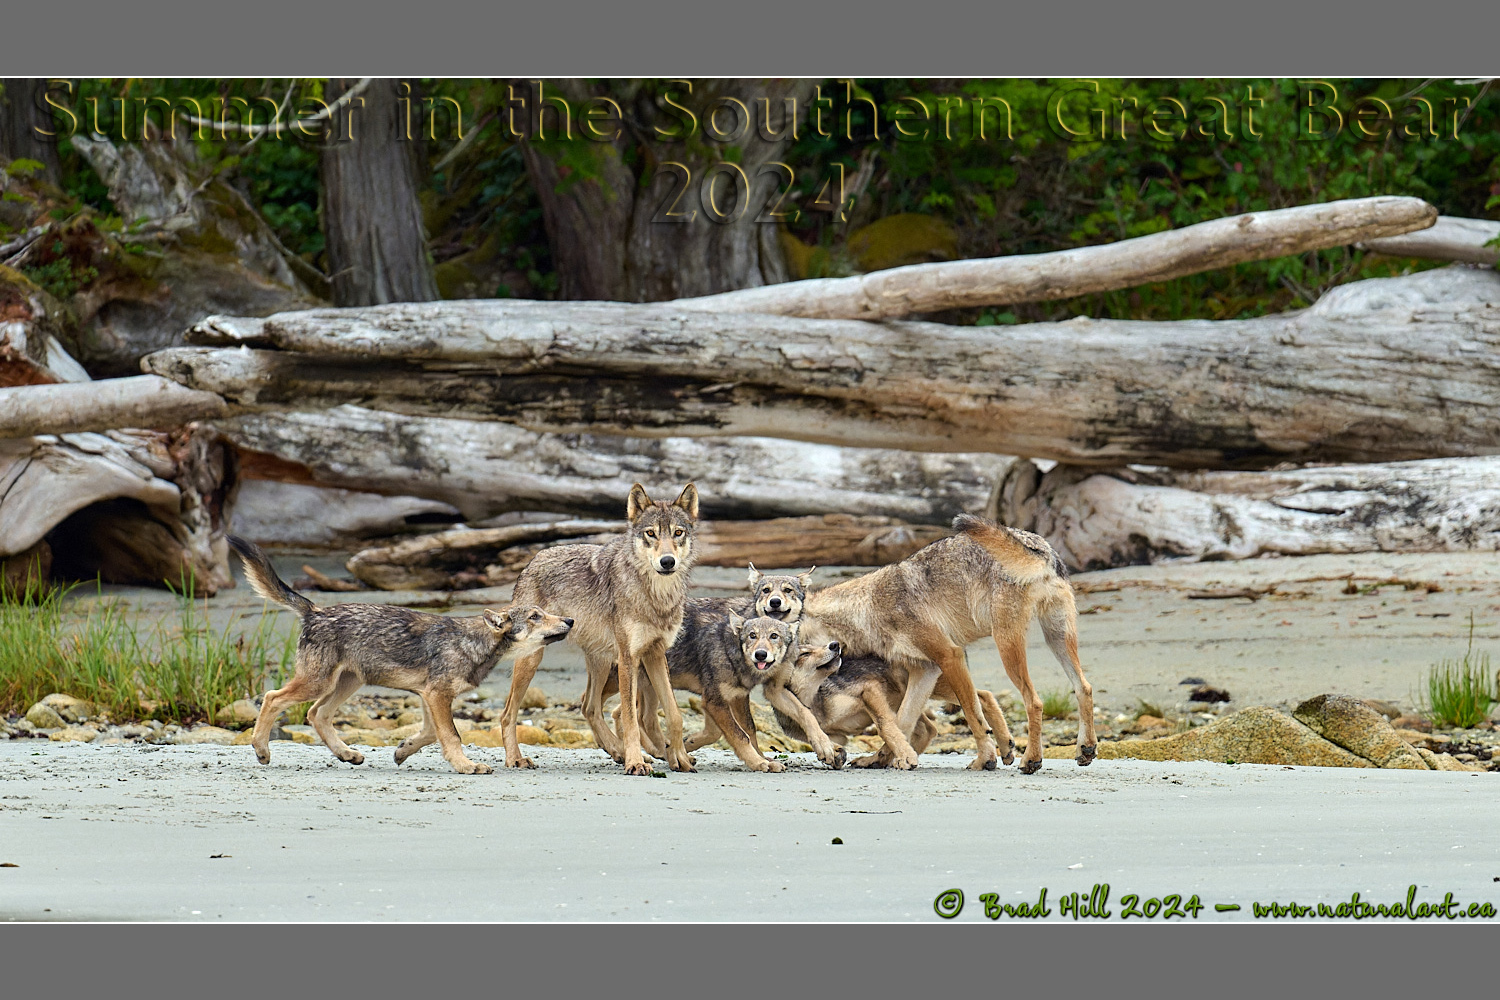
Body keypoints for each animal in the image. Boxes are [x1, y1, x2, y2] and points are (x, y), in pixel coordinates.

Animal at [225, 536, 570, 779]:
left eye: (546, 613)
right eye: (536, 616)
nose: (570, 620)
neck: (473, 642)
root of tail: (316, 610)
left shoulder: (428, 695)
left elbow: (430, 734)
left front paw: (403, 751)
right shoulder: (437, 695)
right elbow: (453, 735)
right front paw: (466, 765)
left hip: (346, 684)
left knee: (316, 714)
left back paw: (347, 754)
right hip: (318, 684)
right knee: (273, 698)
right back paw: (261, 751)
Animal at [498, 479, 696, 779]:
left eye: (678, 533)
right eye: (650, 533)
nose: (667, 562)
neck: (655, 597)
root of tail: (531, 561)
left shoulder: (655, 654)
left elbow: (674, 714)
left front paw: (680, 759)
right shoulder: (629, 658)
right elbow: (630, 717)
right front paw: (636, 763)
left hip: (600, 661)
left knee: (589, 707)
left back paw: (618, 751)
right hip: (533, 660)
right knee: (508, 713)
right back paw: (515, 759)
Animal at [804, 515, 1098, 773]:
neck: (868, 607)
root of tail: (1037, 544)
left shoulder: (949, 656)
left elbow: (972, 716)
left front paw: (985, 760)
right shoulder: (926, 669)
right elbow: (902, 721)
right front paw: (883, 758)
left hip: (1006, 646)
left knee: (1034, 701)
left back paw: (1032, 759)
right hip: (1057, 637)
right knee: (1083, 687)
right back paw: (1085, 749)